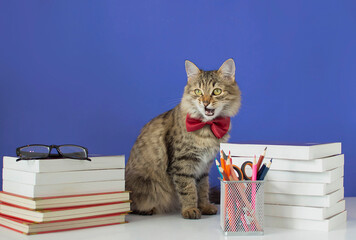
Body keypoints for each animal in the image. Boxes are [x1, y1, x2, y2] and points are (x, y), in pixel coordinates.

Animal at [125, 58, 242, 219]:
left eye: (217, 91)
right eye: (198, 92)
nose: (205, 103)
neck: (207, 128)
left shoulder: (204, 166)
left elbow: (202, 189)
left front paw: (204, 207)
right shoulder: (183, 163)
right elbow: (188, 189)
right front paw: (190, 209)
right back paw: (148, 210)